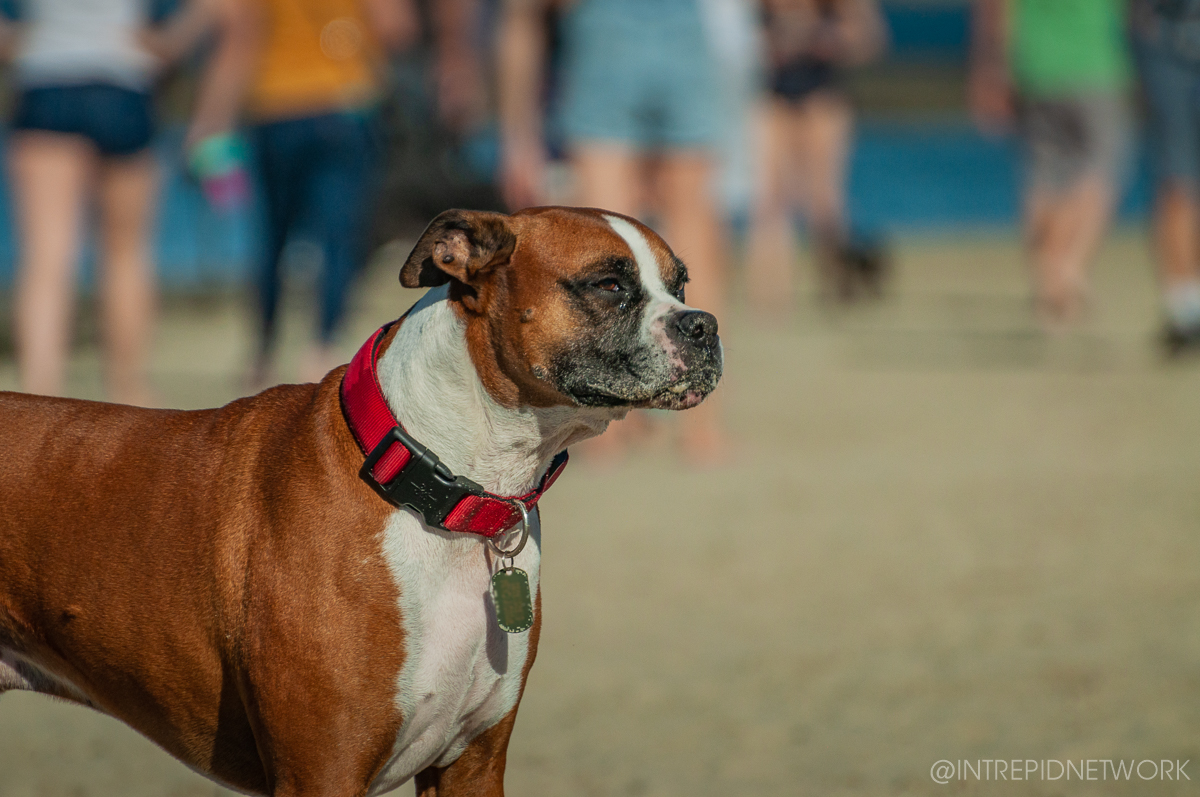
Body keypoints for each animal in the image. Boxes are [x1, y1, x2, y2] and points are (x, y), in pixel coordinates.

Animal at [0, 206, 720, 797]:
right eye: (609, 285)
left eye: (681, 284)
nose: (704, 324)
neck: (440, 490)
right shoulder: (322, 772)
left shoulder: (472, 765)